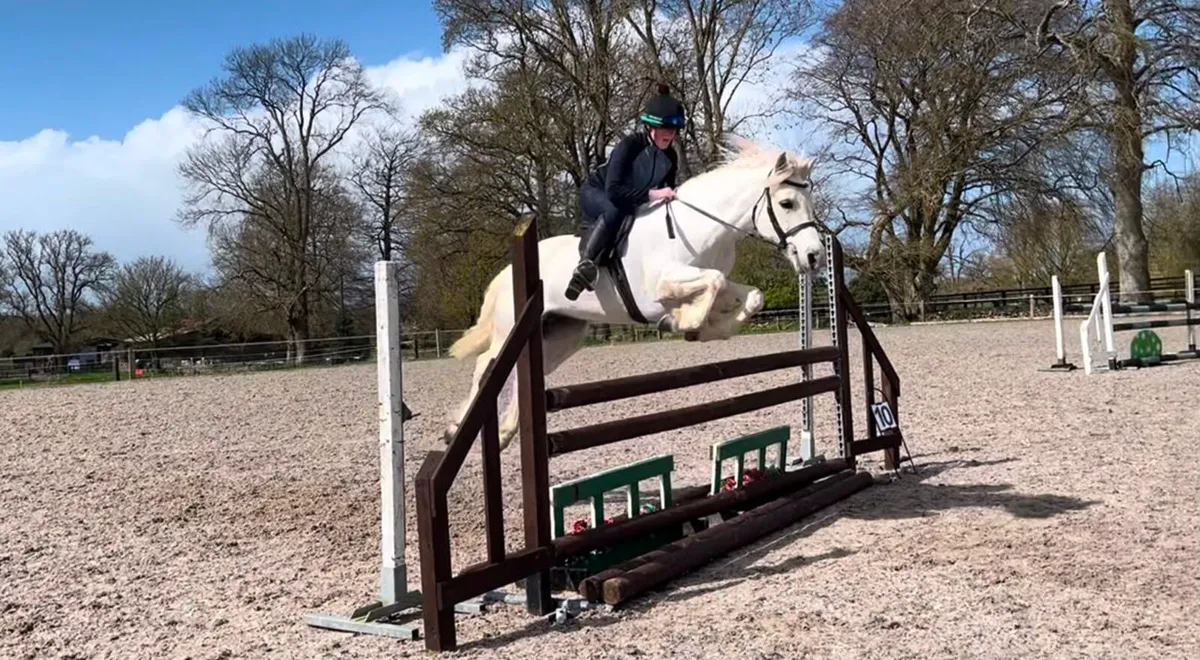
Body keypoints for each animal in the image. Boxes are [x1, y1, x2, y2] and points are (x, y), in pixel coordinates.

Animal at [442, 137, 828, 451]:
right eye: (787, 203)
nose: (814, 256)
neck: (702, 225)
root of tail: (507, 271)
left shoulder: (711, 279)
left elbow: (749, 295)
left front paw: (702, 328)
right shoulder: (660, 286)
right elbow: (713, 283)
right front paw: (681, 322)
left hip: (559, 335)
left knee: (525, 373)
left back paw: (505, 433)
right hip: (511, 327)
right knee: (486, 365)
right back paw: (455, 429)